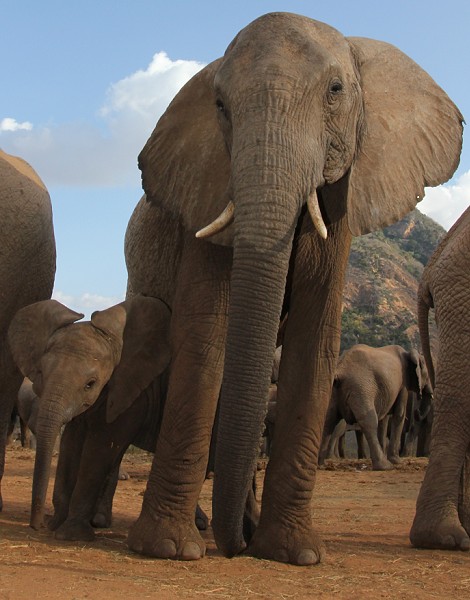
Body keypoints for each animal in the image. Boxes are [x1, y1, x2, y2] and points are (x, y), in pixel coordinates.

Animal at [320, 344, 434, 472]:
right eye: (427, 375)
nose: (417, 411)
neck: (409, 353)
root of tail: (339, 371)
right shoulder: (403, 382)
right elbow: (399, 414)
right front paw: (397, 461)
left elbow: (384, 418)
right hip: (361, 389)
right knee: (369, 422)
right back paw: (385, 466)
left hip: (332, 390)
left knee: (328, 421)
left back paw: (320, 464)